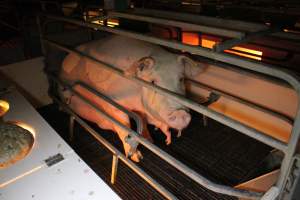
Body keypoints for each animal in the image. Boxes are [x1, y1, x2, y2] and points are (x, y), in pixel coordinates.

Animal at [58, 35, 204, 162]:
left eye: (181, 79)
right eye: (153, 82)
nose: (180, 113)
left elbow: (143, 122)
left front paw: (152, 140)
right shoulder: (113, 102)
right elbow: (124, 126)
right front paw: (137, 158)